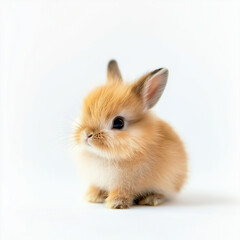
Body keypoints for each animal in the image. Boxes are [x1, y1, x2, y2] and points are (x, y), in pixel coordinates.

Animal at [73, 59, 188, 208]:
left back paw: (151, 199)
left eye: (118, 123)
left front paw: (115, 203)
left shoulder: (125, 184)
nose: (87, 134)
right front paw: (93, 196)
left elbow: (122, 191)